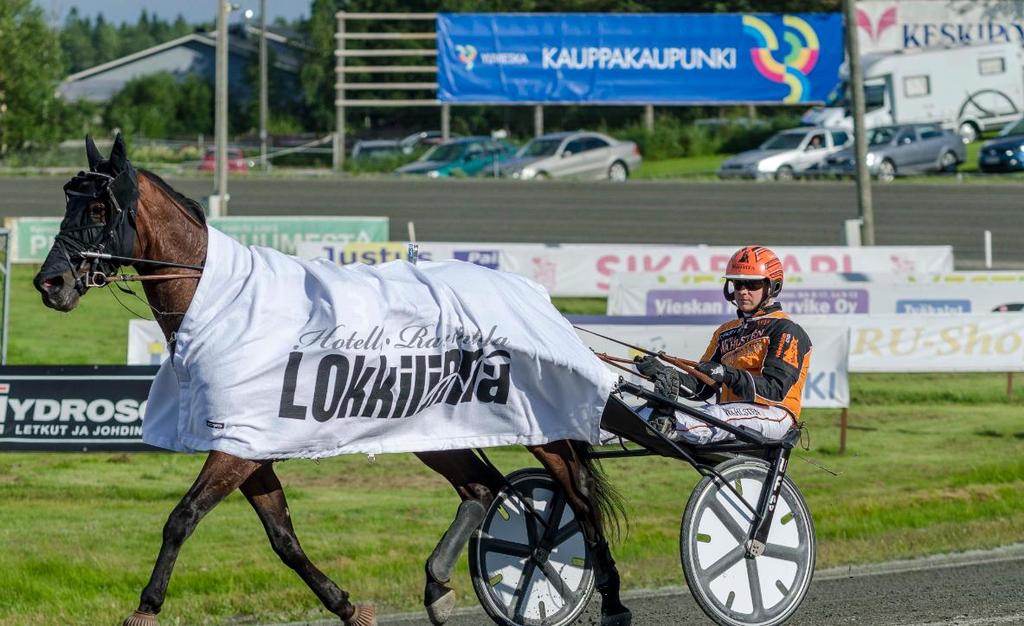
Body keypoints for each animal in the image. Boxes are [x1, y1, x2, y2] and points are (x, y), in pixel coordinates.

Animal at [34, 133, 630, 626]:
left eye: (97, 206)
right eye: (66, 202)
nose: (49, 282)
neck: (222, 301)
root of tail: (528, 292)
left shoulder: (237, 445)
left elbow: (182, 518)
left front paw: (147, 606)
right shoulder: (247, 443)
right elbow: (282, 538)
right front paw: (346, 605)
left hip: (541, 421)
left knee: (577, 495)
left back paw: (607, 594)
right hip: (433, 429)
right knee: (483, 486)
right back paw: (438, 583)